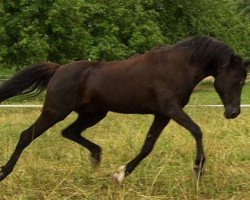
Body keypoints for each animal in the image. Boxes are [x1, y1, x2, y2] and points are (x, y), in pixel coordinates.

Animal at [0, 36, 248, 183]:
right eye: (235, 79)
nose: (233, 113)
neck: (177, 65)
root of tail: (58, 69)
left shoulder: (162, 114)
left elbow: (148, 146)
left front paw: (120, 175)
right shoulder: (171, 108)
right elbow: (197, 130)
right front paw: (198, 170)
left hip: (94, 114)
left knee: (69, 132)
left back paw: (96, 158)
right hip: (55, 111)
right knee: (27, 135)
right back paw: (4, 172)